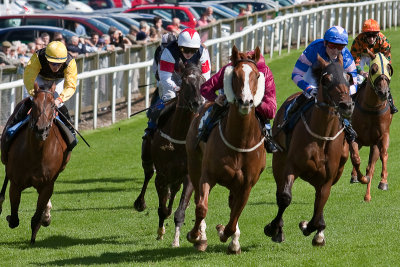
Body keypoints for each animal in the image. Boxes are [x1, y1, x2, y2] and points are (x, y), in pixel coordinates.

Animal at [0, 82, 71, 245]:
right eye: (34, 104)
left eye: (53, 105)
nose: (41, 129)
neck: (36, 153)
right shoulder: (16, 184)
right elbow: (14, 219)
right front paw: (9, 217)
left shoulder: (47, 185)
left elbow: (36, 217)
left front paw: (42, 222)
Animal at [134, 62, 205, 247]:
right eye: (185, 81)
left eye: (203, 80)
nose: (197, 103)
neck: (179, 137)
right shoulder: (162, 175)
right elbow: (163, 208)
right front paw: (160, 231)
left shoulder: (188, 175)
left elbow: (179, 211)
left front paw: (177, 240)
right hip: (149, 159)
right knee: (148, 175)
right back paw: (140, 203)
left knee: (174, 191)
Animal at [186, 45, 268, 253]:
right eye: (235, 75)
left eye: (256, 75)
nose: (245, 101)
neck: (239, 141)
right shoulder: (207, 175)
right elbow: (201, 207)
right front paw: (195, 235)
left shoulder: (246, 184)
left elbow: (235, 216)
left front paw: (226, 234)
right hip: (194, 164)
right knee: (198, 197)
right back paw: (201, 237)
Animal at [264, 54, 354, 247]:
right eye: (326, 80)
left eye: (348, 78)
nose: (346, 105)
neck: (321, 135)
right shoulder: (292, 166)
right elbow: (284, 197)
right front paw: (273, 228)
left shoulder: (328, 177)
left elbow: (320, 204)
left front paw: (312, 228)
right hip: (278, 161)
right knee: (279, 190)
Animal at [348, 52, 392, 202]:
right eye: (373, 69)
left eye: (389, 68)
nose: (383, 92)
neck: (372, 108)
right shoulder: (355, 137)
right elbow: (355, 158)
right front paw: (359, 177)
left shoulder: (381, 136)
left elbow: (382, 155)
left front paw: (383, 182)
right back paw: (355, 176)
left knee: (371, 166)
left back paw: (367, 195)